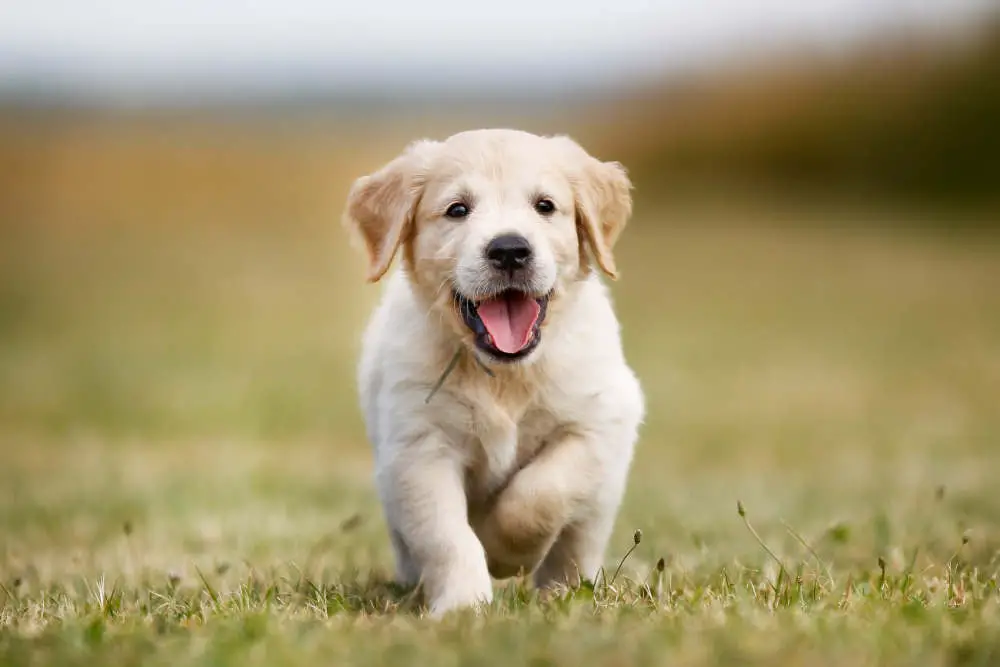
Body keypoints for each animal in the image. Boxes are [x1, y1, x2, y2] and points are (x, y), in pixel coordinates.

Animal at [342, 128, 640, 620]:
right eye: (457, 209)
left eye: (545, 206)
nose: (510, 250)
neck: (504, 376)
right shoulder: (418, 450)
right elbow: (447, 536)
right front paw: (464, 605)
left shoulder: (599, 424)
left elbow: (542, 493)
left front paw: (504, 553)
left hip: (601, 499)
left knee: (577, 542)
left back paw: (564, 591)